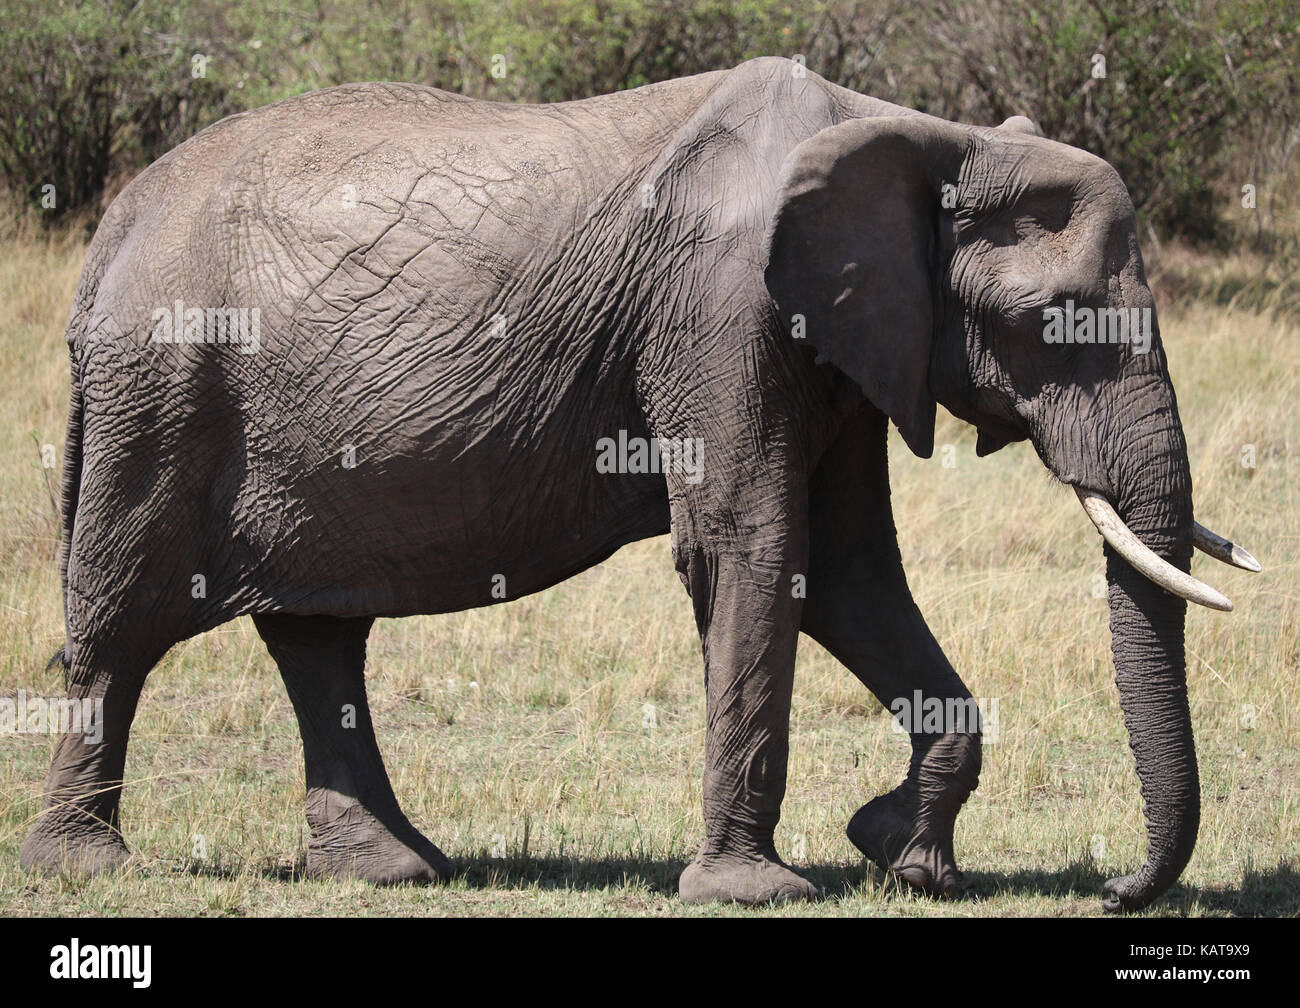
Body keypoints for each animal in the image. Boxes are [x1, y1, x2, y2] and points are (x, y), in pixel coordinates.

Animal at [21, 57, 1259, 911]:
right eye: (1049, 321)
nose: (1113, 891)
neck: (916, 133)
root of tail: (112, 227)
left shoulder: (844, 338)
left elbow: (850, 573)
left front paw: (905, 858)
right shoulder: (722, 309)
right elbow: (754, 546)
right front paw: (759, 891)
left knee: (318, 634)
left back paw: (393, 872)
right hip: (163, 386)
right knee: (122, 620)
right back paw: (86, 867)